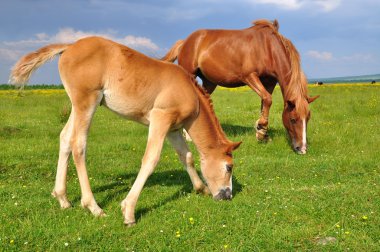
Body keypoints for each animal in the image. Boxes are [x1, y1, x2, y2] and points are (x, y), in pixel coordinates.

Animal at [9, 36, 240, 226]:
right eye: (228, 167)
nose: (227, 196)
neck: (189, 91)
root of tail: (70, 46)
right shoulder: (160, 119)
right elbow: (151, 160)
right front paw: (128, 211)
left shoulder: (173, 129)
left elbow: (187, 156)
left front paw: (201, 188)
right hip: (87, 101)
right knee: (78, 144)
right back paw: (93, 206)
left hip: (77, 105)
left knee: (65, 138)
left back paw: (63, 198)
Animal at [162, 19, 320, 154]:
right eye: (293, 119)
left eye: (308, 119)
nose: (302, 149)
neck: (267, 47)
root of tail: (185, 41)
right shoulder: (250, 76)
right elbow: (267, 99)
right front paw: (261, 130)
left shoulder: (269, 82)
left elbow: (265, 102)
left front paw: (262, 133)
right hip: (190, 74)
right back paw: (188, 136)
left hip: (209, 82)